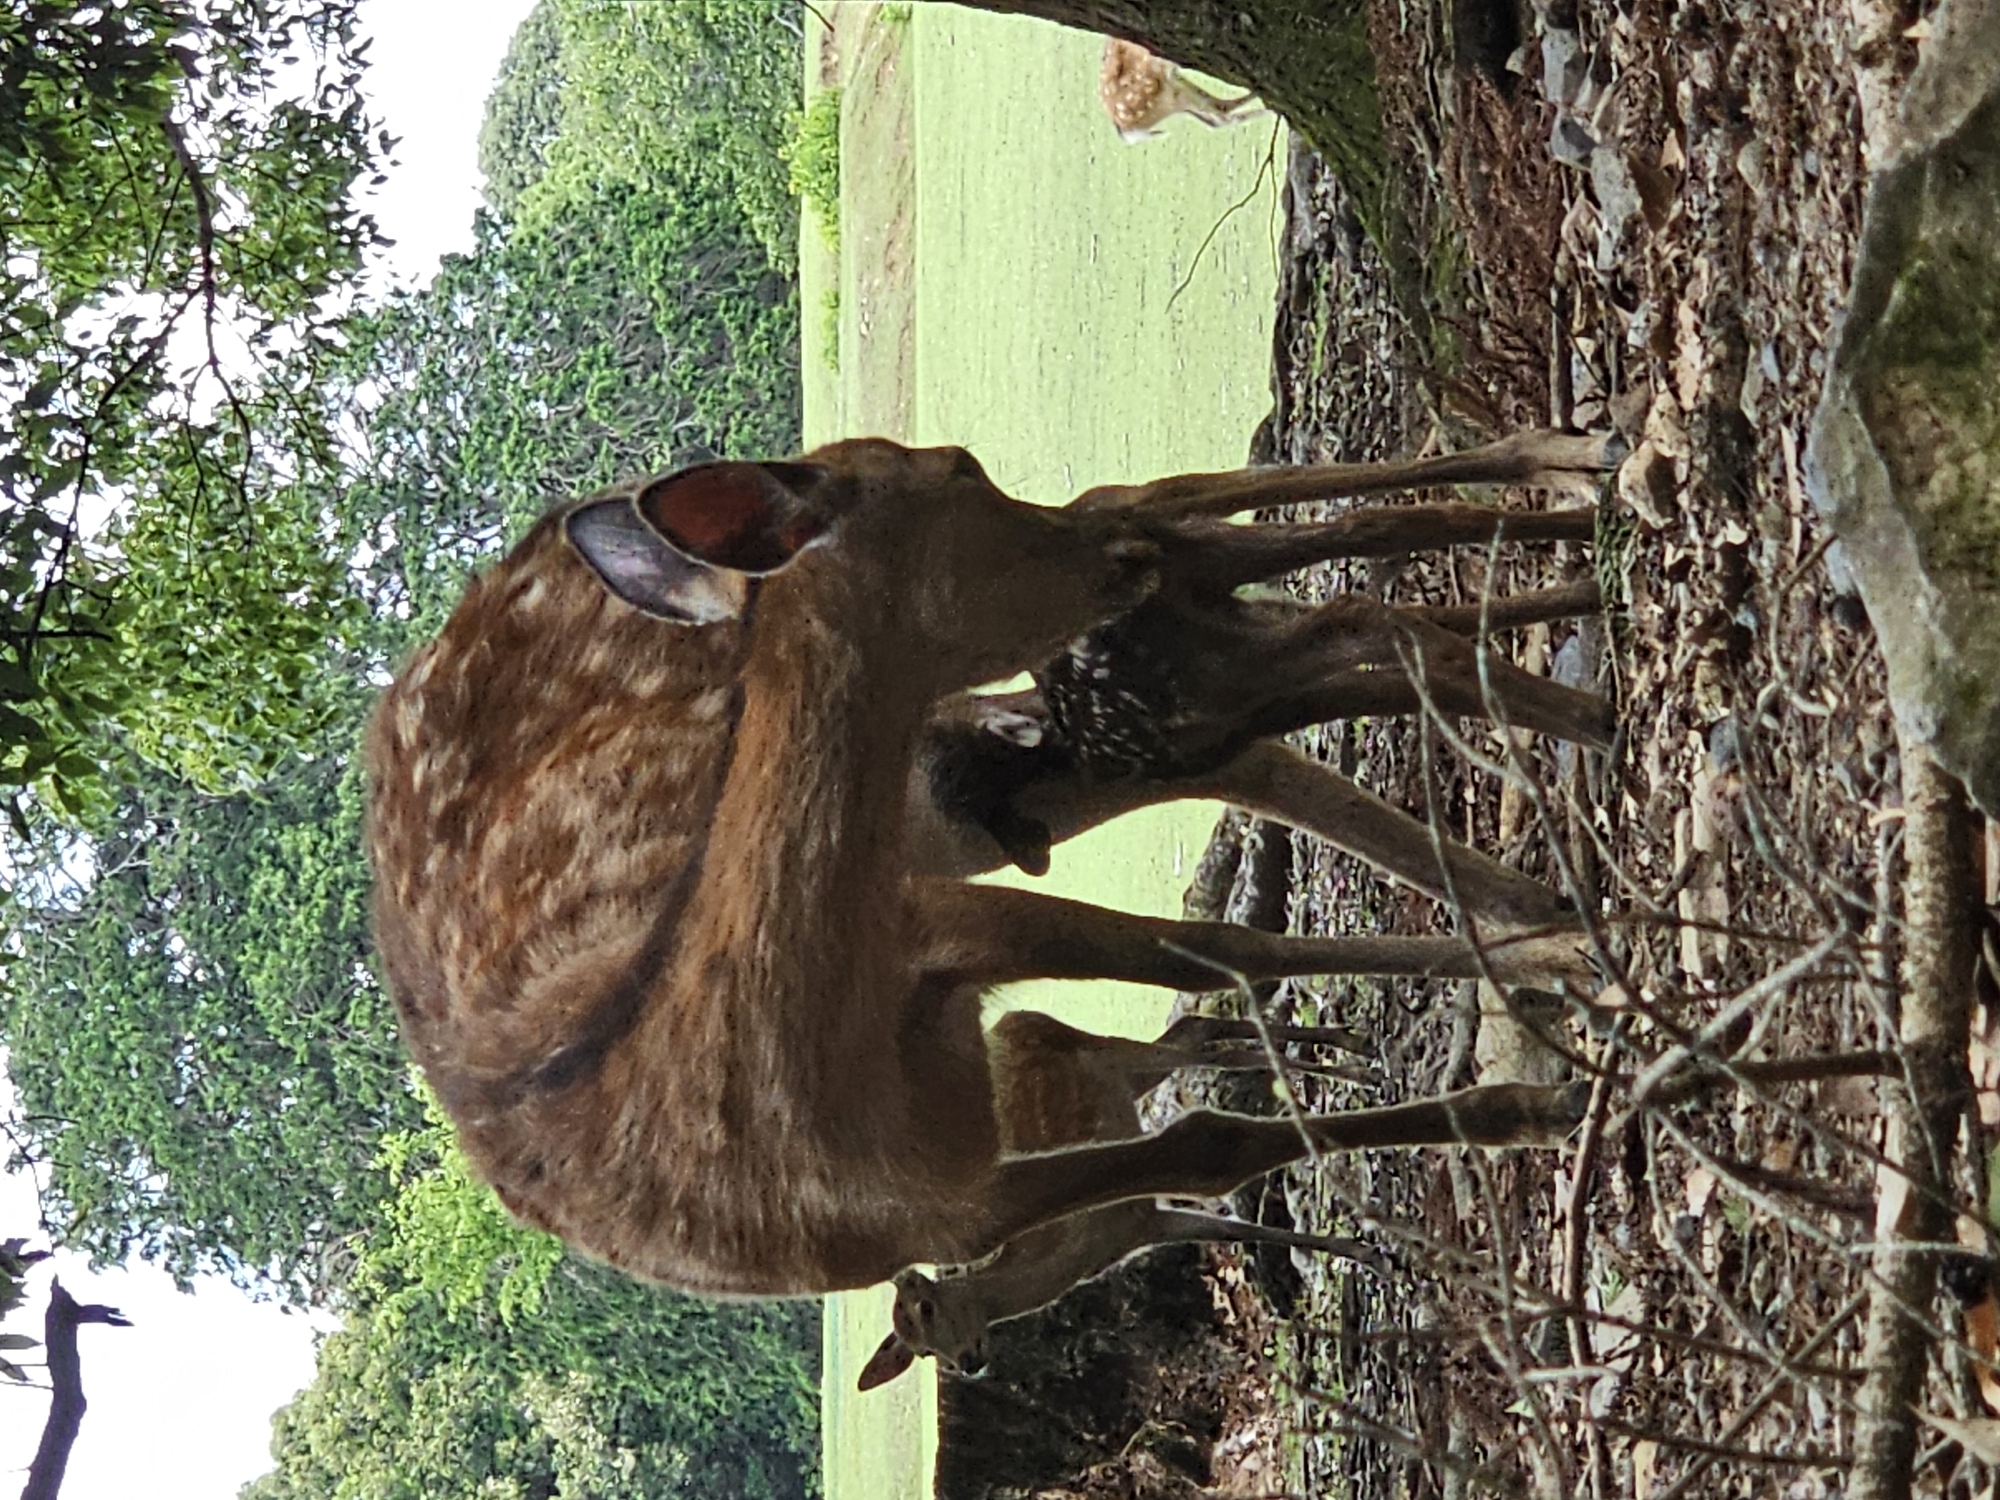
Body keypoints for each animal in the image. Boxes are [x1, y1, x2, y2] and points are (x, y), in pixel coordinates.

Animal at [365, 429, 1619, 1304]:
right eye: (961, 469)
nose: (1114, 560)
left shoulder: (939, 913)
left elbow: (1204, 950)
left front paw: (1556, 973)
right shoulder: (952, 1210)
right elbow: (1205, 1121)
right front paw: (1542, 1035)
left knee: (1218, 530)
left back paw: (1570, 484)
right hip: (1071, 742)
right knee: (1276, 638)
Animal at [1100, 37, 1267, 143]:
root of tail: (1126, 131)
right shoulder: (1167, 73)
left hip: (1170, 95)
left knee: (1214, 117)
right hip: (1164, 91)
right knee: (1219, 114)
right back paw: (1261, 102)